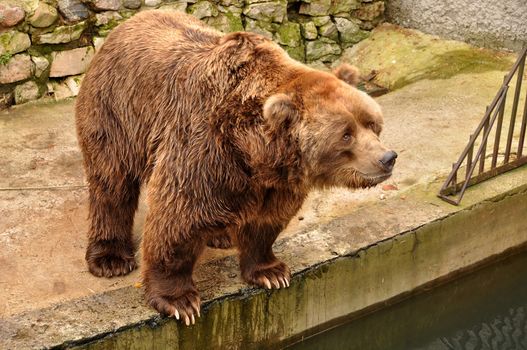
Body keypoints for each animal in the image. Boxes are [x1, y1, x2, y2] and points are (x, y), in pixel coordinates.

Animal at [74, 10, 396, 326]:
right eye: (346, 134)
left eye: (371, 122)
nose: (387, 157)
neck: (254, 152)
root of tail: (127, 23)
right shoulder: (204, 149)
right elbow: (178, 218)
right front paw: (179, 301)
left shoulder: (273, 182)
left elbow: (267, 221)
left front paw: (271, 271)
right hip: (116, 112)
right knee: (112, 183)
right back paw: (111, 258)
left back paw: (221, 236)